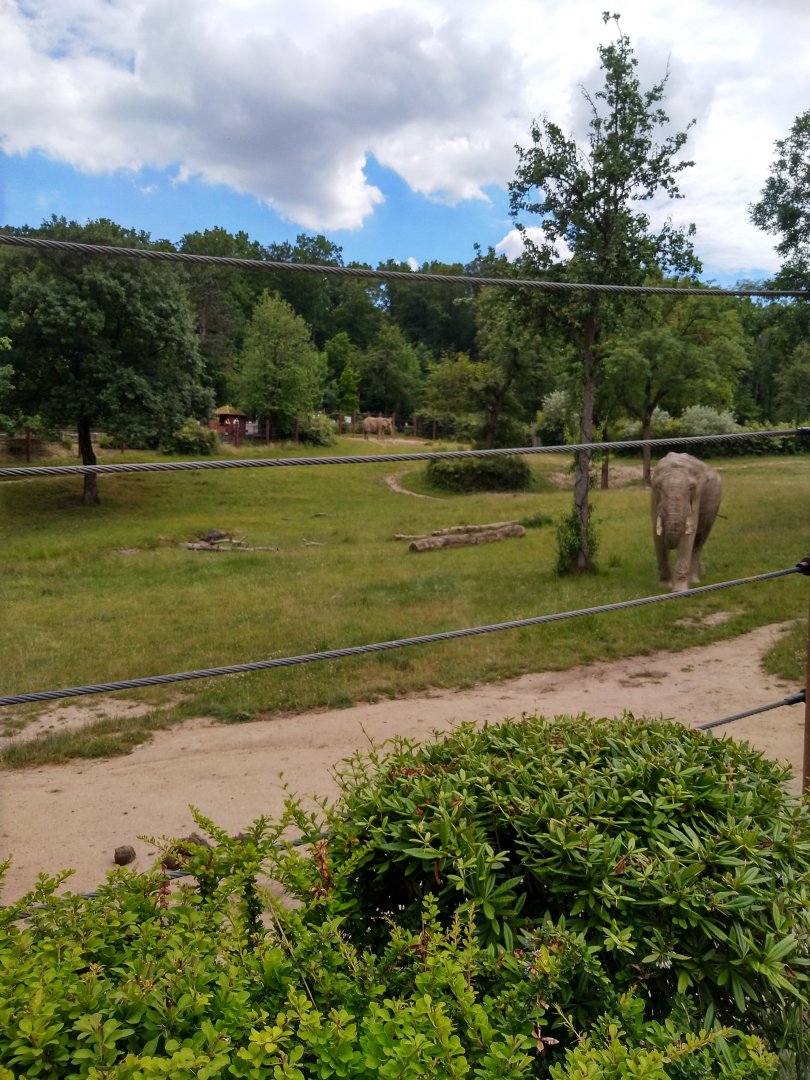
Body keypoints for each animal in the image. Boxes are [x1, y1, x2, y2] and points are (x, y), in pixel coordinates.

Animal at [650, 452, 722, 592]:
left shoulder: (697, 497)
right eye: (658, 486)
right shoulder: (654, 497)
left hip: (714, 501)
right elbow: (657, 535)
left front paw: (679, 591)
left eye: (691, 488)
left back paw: (694, 581)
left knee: (699, 540)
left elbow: (688, 534)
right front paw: (664, 587)